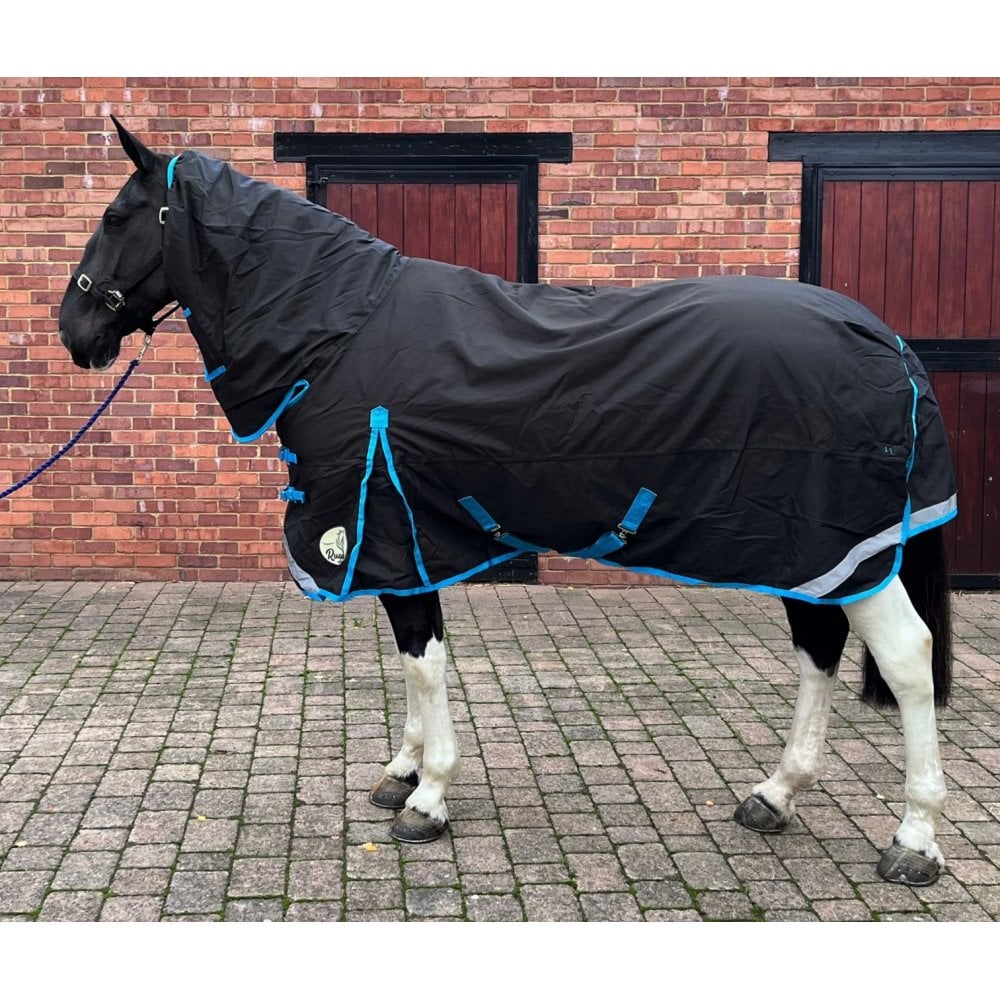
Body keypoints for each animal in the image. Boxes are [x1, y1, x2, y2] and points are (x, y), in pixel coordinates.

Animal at [58, 118, 959, 887]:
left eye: (115, 215)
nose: (73, 331)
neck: (339, 336)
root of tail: (886, 339)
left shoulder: (386, 528)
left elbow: (423, 660)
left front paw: (427, 797)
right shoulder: (402, 542)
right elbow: (410, 657)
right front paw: (402, 771)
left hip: (839, 548)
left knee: (905, 658)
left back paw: (914, 839)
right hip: (807, 551)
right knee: (819, 648)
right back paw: (775, 794)